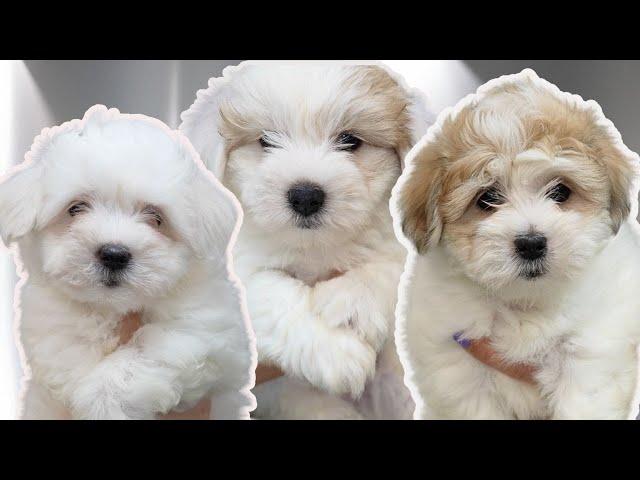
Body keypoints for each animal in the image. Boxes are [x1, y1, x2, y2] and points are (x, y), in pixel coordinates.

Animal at [0, 106, 255, 420]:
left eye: (156, 217)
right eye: (75, 208)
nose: (114, 254)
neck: (111, 308)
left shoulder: (206, 330)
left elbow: (150, 349)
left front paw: (101, 401)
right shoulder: (52, 325)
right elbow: (69, 348)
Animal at [180, 62, 430, 418]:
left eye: (350, 140)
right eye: (266, 140)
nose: (306, 196)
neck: (313, 246)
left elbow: (388, 268)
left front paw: (349, 302)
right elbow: (270, 294)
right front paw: (335, 350)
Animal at [392, 69, 640, 418]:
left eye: (560, 191)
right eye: (487, 198)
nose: (532, 243)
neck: (525, 301)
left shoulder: (588, 353)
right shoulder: (462, 370)